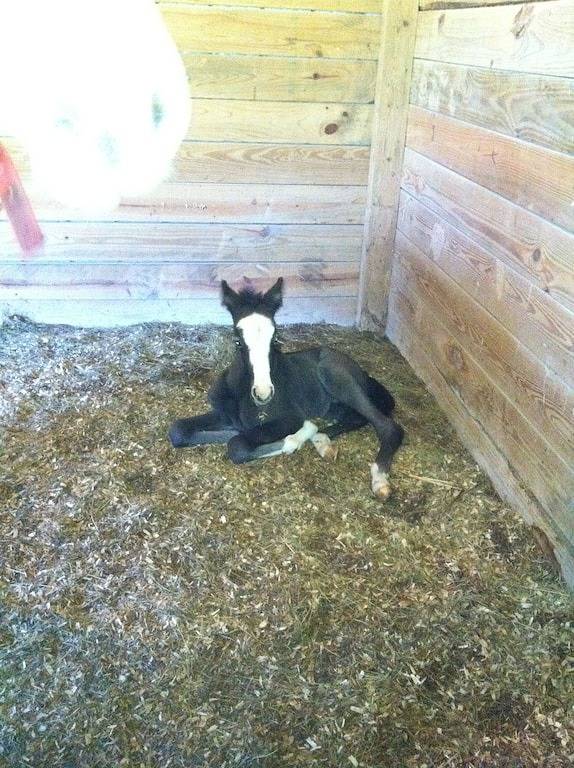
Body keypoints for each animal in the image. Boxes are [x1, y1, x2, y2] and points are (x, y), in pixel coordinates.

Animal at [169, 279, 404, 499]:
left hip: (336, 377)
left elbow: (238, 445)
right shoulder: (224, 414)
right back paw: (323, 443)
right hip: (333, 407)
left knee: (388, 427)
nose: (263, 393)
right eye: (237, 341)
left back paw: (380, 481)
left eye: (275, 338)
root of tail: (364, 373)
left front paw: (296, 437)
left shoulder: (290, 418)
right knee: (354, 418)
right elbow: (178, 431)